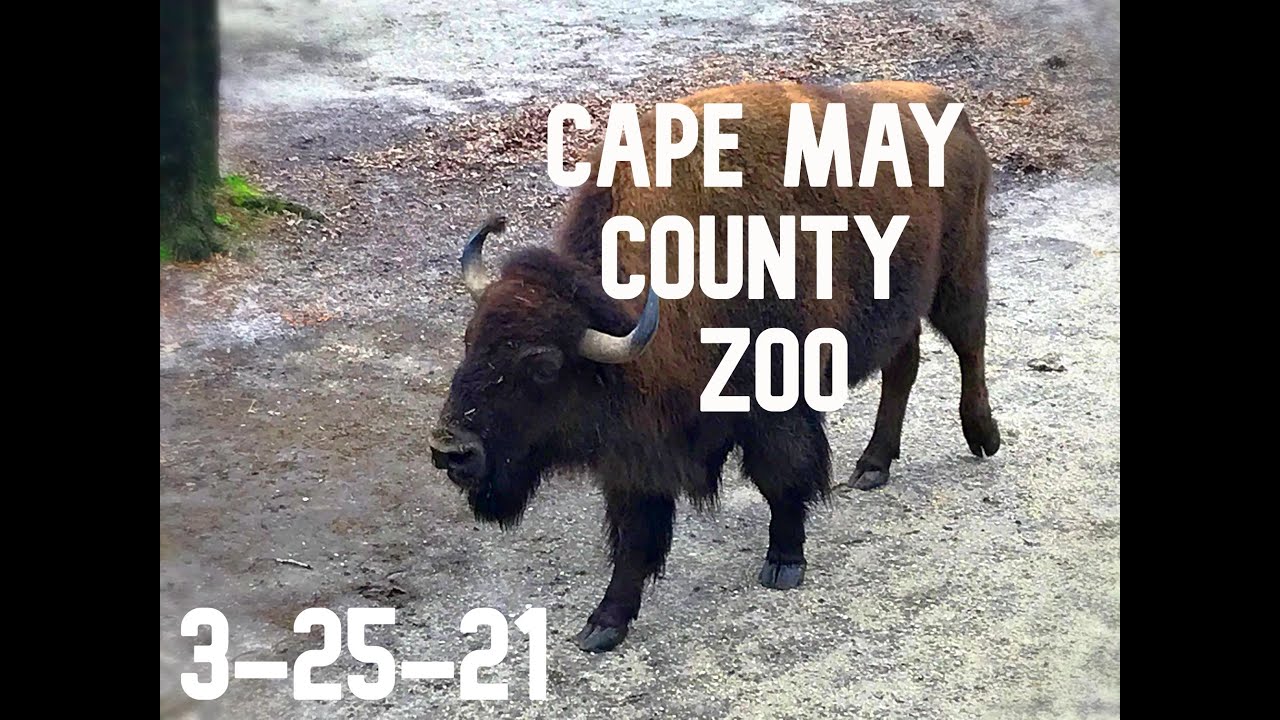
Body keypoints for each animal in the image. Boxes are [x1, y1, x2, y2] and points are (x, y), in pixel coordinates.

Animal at [429, 81, 1001, 652]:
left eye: (544, 365)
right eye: (469, 339)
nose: (450, 450)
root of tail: (950, 110)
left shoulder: (776, 404)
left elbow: (783, 477)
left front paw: (784, 563)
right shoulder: (637, 445)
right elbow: (635, 532)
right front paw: (604, 623)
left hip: (959, 275)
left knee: (970, 346)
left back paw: (983, 438)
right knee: (903, 367)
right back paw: (873, 466)